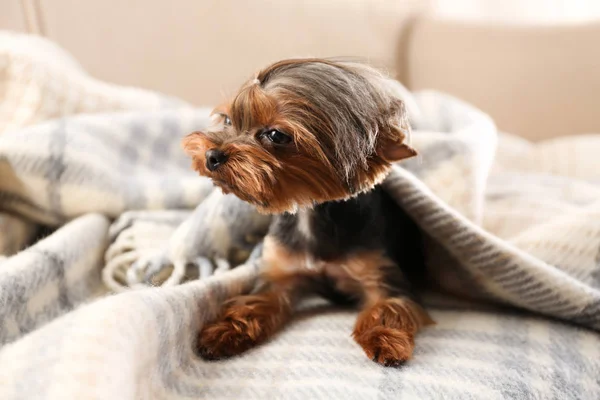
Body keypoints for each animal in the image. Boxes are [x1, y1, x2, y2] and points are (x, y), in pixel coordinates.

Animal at [183, 57, 432, 368]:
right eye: (228, 120)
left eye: (276, 135)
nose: (211, 156)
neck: (309, 214)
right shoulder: (281, 275)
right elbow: (253, 303)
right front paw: (223, 331)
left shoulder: (381, 275)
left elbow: (388, 306)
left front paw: (385, 339)